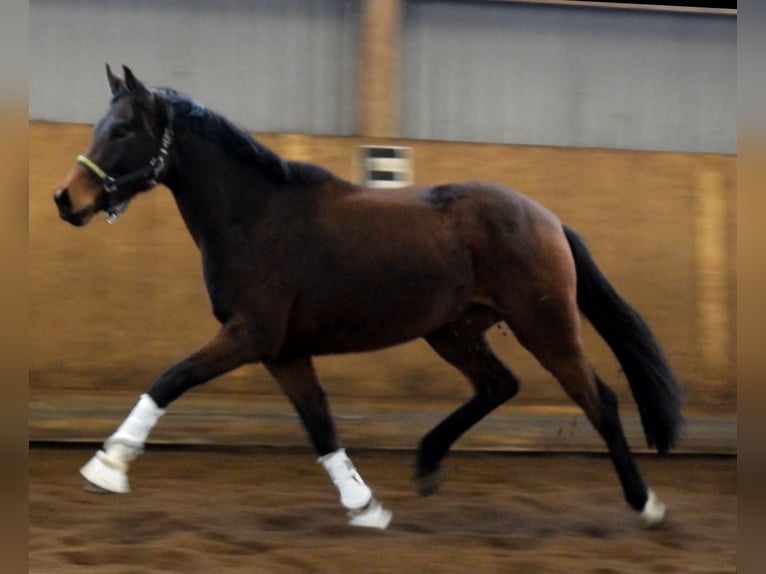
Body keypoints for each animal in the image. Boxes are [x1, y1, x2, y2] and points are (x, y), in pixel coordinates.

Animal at [57, 66, 688, 532]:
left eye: (122, 130)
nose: (68, 199)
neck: (256, 215)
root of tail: (549, 219)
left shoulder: (249, 335)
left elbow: (170, 378)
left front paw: (107, 466)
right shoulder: (283, 351)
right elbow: (322, 425)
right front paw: (365, 507)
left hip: (545, 325)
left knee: (600, 401)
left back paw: (646, 504)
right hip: (453, 331)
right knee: (499, 385)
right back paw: (427, 462)